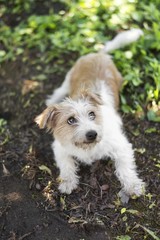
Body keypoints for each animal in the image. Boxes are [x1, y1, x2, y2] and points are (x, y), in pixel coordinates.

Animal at [35, 29, 145, 203]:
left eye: (92, 114)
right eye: (70, 120)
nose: (92, 134)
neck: (87, 148)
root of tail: (98, 54)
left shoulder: (121, 146)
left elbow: (126, 168)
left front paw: (133, 186)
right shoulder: (60, 148)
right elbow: (66, 165)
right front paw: (68, 182)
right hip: (69, 77)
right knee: (60, 89)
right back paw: (52, 100)